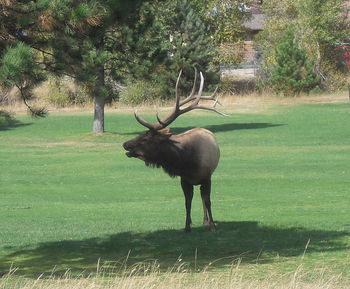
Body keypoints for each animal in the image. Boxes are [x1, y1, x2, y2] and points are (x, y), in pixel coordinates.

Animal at [123, 69, 227, 232]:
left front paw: (213, 226)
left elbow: (208, 201)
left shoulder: (207, 178)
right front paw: (187, 226)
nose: (125, 144)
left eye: (145, 139)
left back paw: (206, 221)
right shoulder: (184, 179)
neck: (187, 162)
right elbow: (187, 202)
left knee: (203, 198)